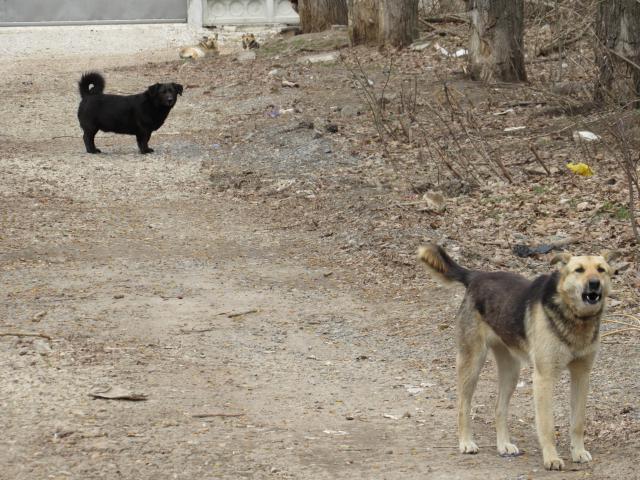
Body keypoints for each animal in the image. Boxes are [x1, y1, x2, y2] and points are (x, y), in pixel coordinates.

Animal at [420, 246, 616, 470]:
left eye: (601, 270)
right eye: (579, 270)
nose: (594, 283)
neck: (575, 317)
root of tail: (477, 276)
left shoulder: (581, 376)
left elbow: (577, 422)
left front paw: (578, 452)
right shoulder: (544, 378)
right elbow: (547, 425)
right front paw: (551, 458)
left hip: (511, 371)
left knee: (499, 408)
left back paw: (503, 445)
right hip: (472, 363)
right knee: (463, 405)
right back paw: (466, 442)